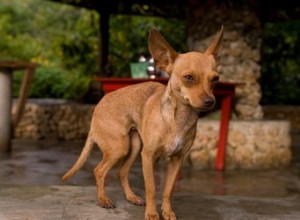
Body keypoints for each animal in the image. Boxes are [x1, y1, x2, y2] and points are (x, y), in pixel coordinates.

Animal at [62, 27, 224, 220]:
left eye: (215, 79)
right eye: (189, 77)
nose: (210, 101)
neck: (178, 119)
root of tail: (98, 106)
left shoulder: (176, 160)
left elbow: (167, 191)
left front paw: (167, 212)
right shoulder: (148, 157)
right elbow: (151, 189)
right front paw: (153, 214)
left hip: (133, 146)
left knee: (122, 172)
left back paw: (131, 197)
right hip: (119, 147)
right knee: (99, 170)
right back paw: (103, 199)